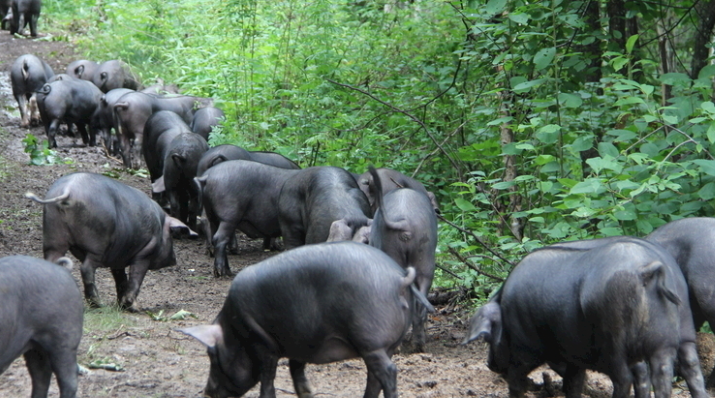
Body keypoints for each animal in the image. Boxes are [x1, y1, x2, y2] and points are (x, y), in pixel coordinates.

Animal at [25, 171, 194, 310]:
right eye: (171, 235)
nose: (174, 259)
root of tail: (68, 190)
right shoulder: (145, 252)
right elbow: (135, 277)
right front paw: (133, 307)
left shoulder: (118, 257)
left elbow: (120, 278)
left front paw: (121, 306)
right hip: (97, 243)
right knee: (86, 269)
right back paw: (99, 304)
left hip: (53, 235)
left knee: (51, 260)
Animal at [182, 241, 434, 398]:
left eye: (211, 355)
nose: (207, 392)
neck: (234, 330)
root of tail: (399, 277)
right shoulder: (300, 342)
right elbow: (297, 372)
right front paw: (307, 393)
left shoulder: (262, 343)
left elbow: (268, 381)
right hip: (384, 345)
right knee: (374, 378)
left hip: (371, 342)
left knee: (388, 373)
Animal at [464, 238, 700, 398]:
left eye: (488, 337)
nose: (489, 363)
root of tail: (648, 267)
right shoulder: (573, 354)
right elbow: (572, 384)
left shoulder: (525, 348)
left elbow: (516, 382)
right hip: (676, 334)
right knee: (678, 372)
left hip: (613, 338)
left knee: (625, 379)